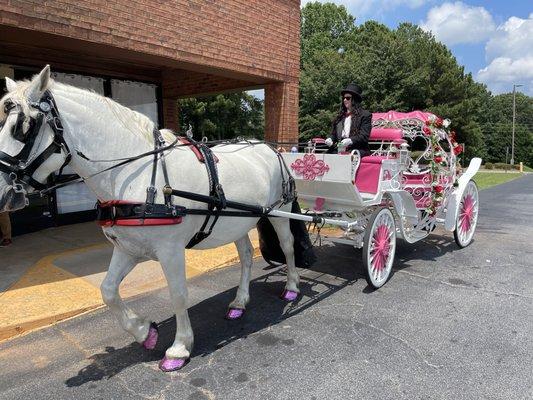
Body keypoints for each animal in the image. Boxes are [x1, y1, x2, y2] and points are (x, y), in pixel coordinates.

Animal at [0, 66, 300, 372]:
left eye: (23, 127)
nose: (2, 192)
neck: (136, 174)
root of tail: (269, 147)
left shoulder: (170, 250)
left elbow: (178, 294)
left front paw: (179, 348)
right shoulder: (128, 248)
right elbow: (108, 291)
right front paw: (144, 331)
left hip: (280, 211)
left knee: (287, 246)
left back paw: (291, 287)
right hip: (238, 222)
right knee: (247, 255)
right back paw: (239, 302)